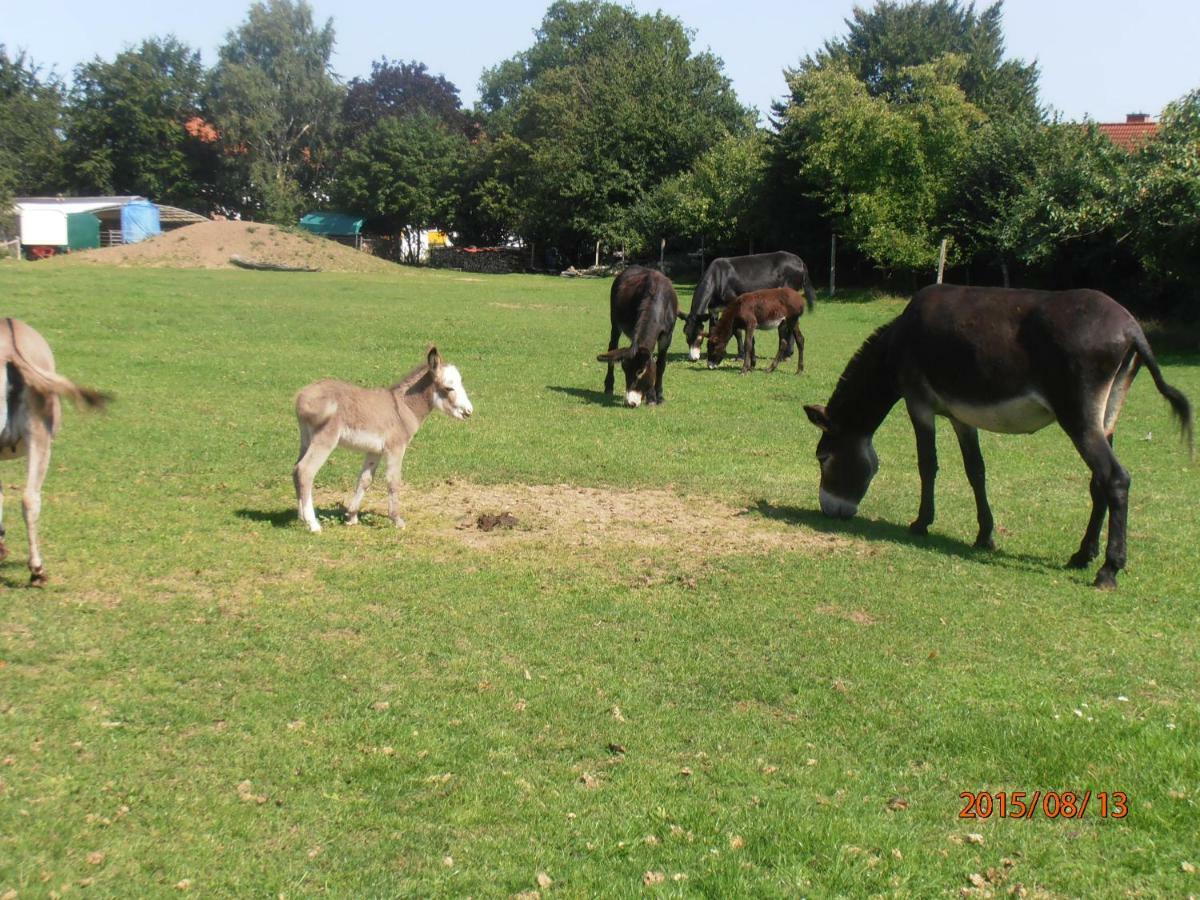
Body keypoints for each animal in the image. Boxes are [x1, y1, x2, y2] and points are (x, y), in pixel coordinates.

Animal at [292, 348, 470, 535]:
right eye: (449, 387)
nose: (469, 411)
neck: (403, 407)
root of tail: (302, 396)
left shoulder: (374, 451)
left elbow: (364, 480)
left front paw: (352, 517)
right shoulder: (396, 448)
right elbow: (393, 481)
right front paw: (397, 520)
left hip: (306, 439)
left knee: (296, 470)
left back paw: (301, 518)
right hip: (325, 439)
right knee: (305, 471)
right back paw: (313, 524)